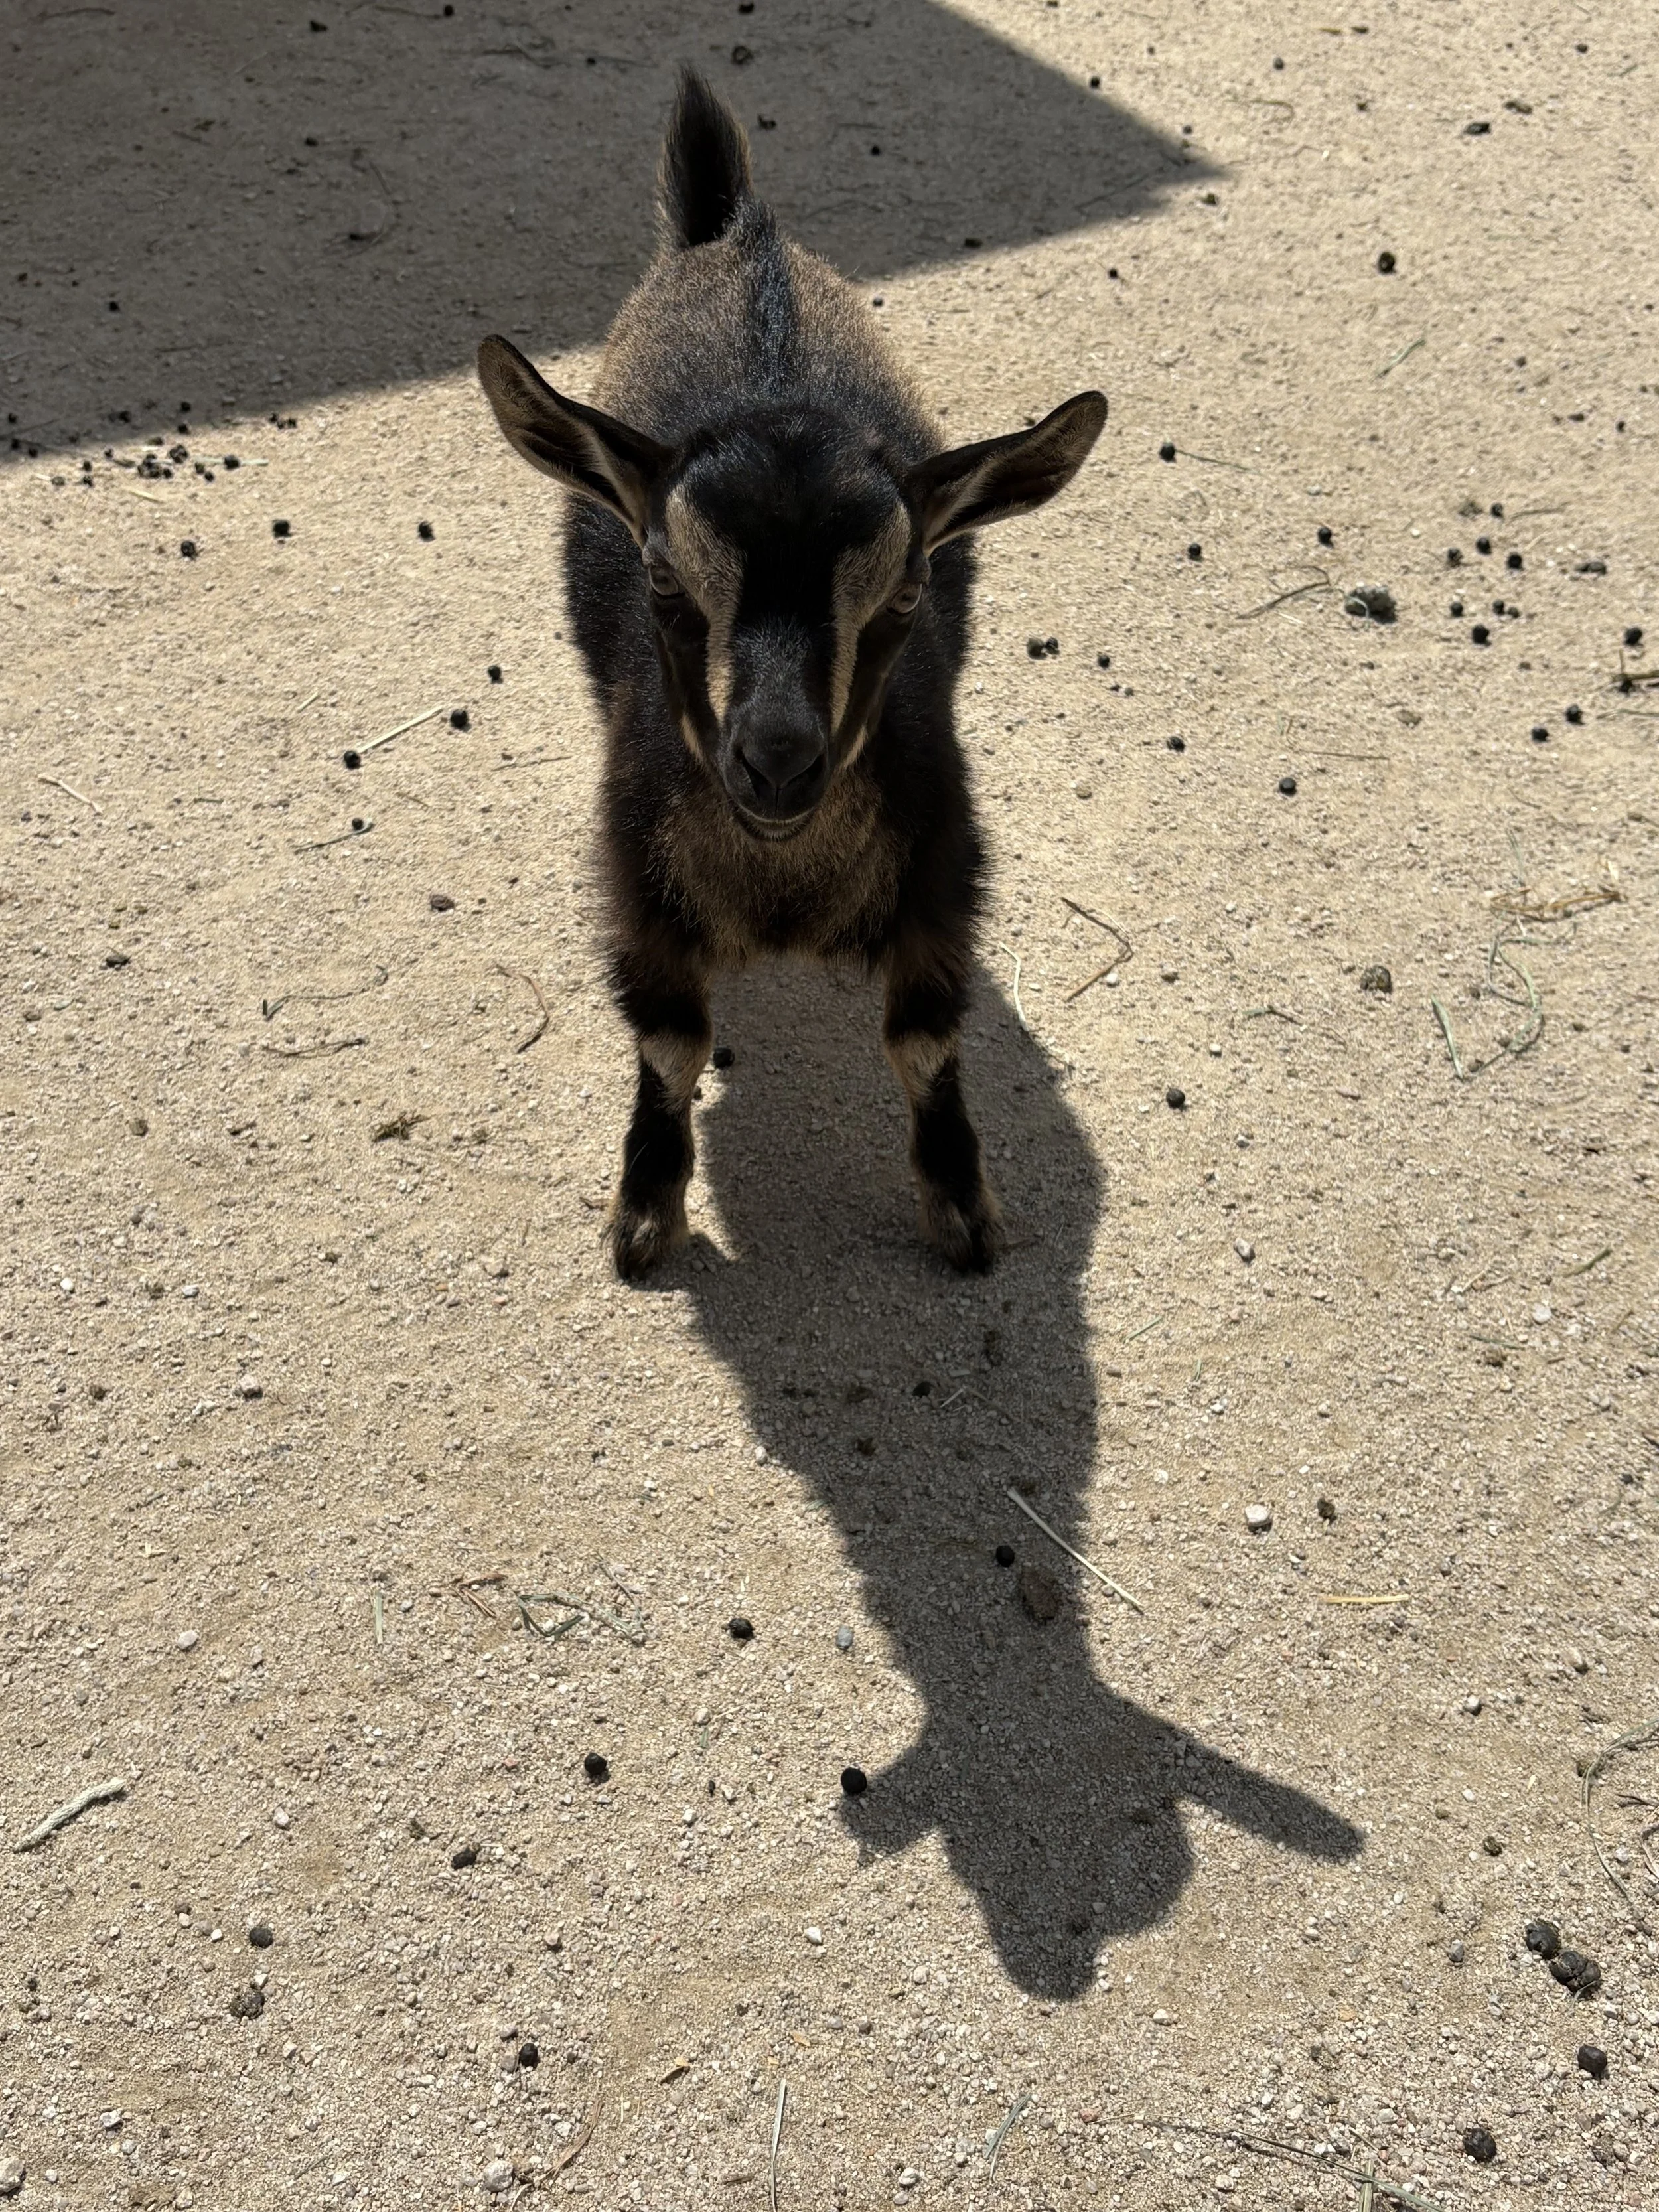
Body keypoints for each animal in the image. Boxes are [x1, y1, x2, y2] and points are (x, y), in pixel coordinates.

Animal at [478, 70, 1105, 1279]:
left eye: (909, 591)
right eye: (661, 576)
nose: (775, 762)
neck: (779, 884)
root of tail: (740, 232)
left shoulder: (943, 863)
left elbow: (923, 1035)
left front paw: (963, 1209)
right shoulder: (636, 876)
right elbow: (672, 1041)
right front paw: (644, 1213)